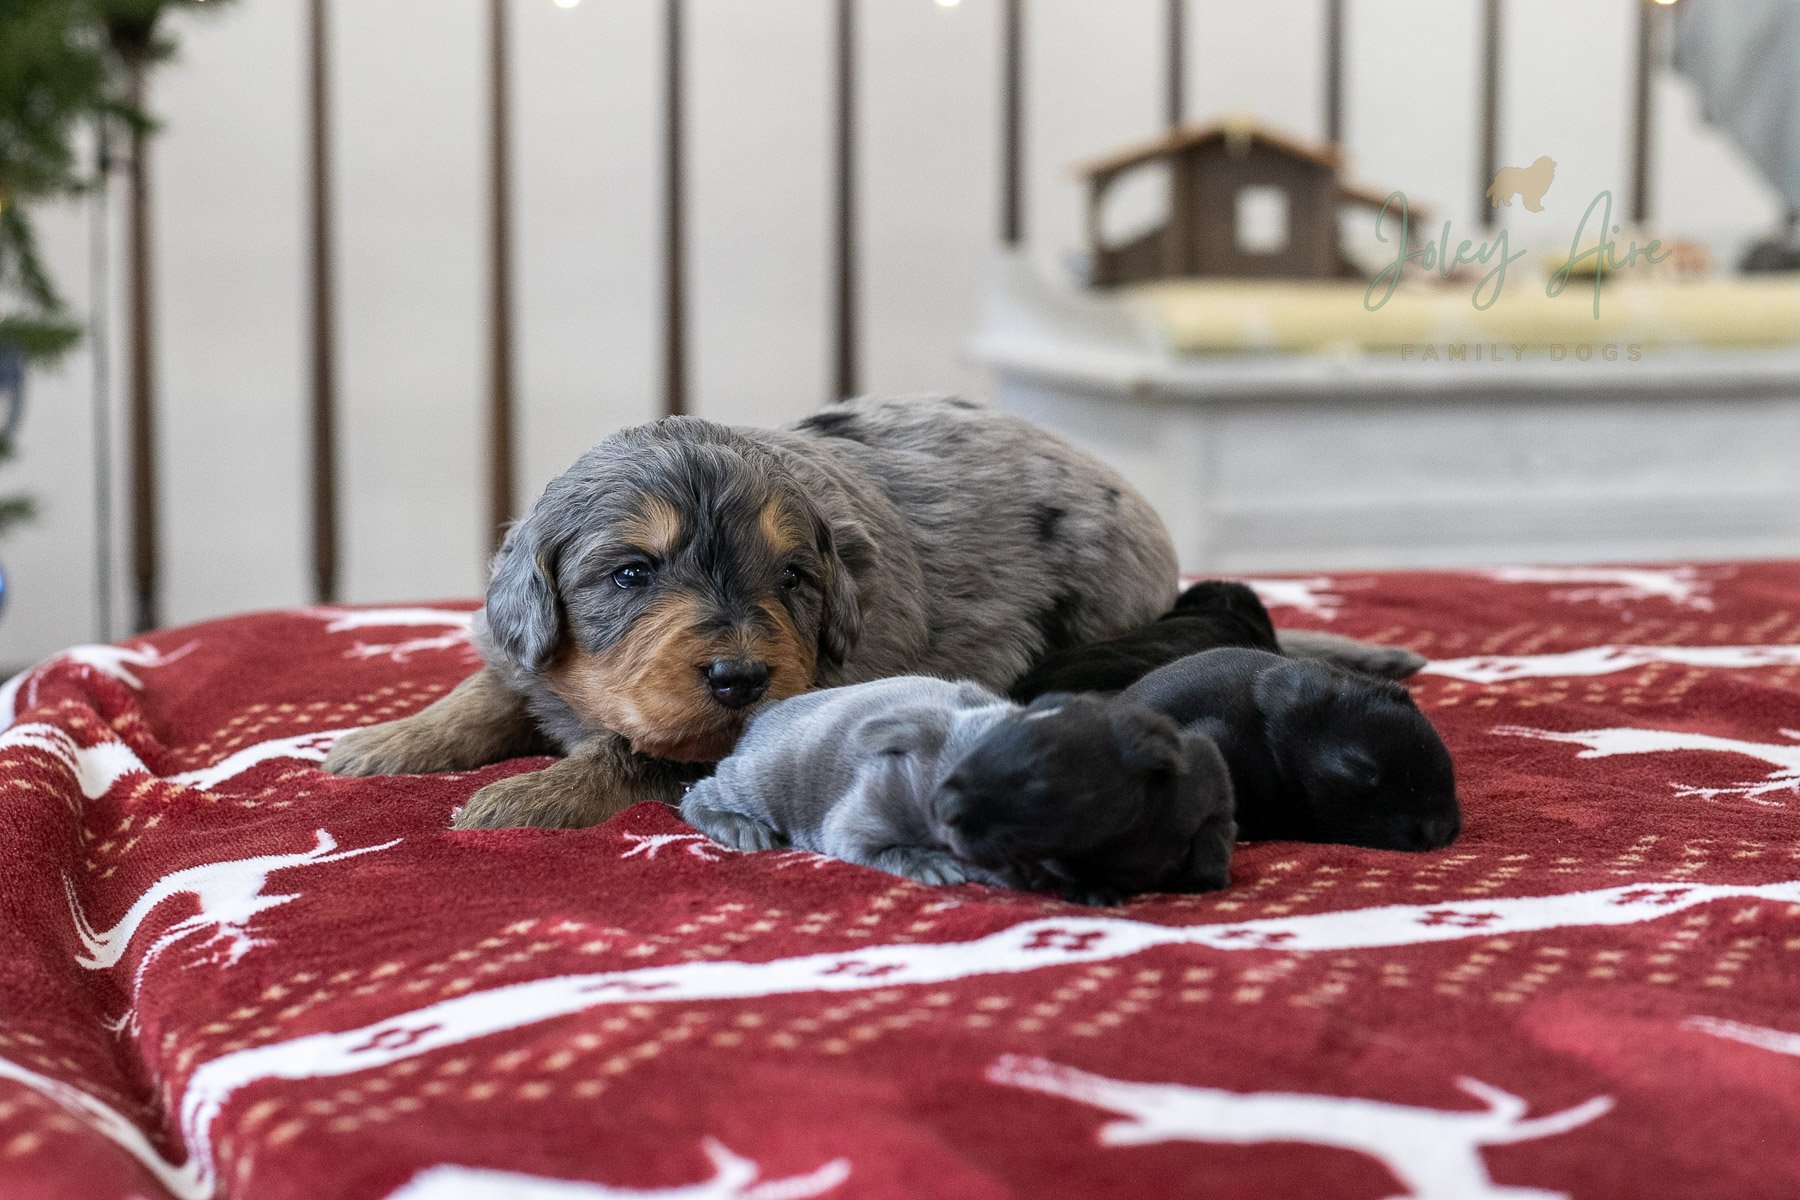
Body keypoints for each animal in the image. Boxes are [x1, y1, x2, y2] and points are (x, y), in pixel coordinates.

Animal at [323, 395, 1180, 829]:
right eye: (631, 573)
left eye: (794, 579)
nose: (741, 677)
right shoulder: (520, 651)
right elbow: (485, 691)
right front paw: (385, 741)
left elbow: (636, 752)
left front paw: (528, 795)